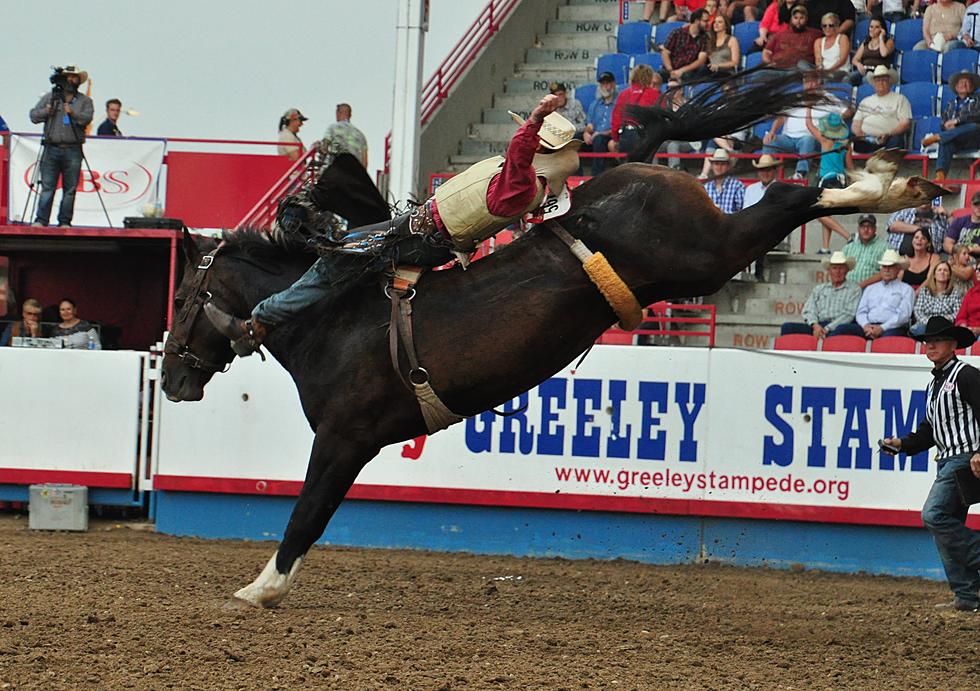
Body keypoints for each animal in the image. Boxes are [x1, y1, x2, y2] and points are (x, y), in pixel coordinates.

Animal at [161, 70, 948, 608]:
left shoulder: (344, 439)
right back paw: (897, 186)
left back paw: (889, 188)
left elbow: (306, 514)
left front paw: (259, 588)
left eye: (182, 299)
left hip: (707, 253)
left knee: (789, 196)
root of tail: (632, 166)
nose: (169, 377)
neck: (333, 318)